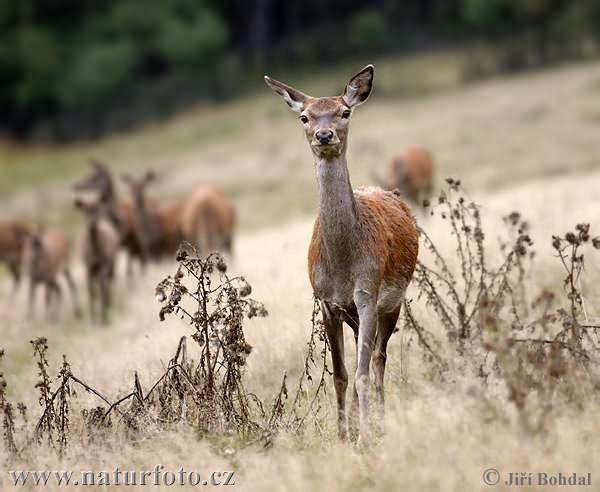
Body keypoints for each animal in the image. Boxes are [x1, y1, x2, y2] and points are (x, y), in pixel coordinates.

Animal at [264, 63, 420, 444]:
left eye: (345, 112)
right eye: (304, 117)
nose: (324, 135)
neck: (342, 266)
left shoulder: (367, 293)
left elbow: (361, 372)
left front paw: (362, 436)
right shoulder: (326, 301)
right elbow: (339, 375)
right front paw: (342, 436)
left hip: (392, 302)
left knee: (378, 358)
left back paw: (381, 420)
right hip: (355, 314)